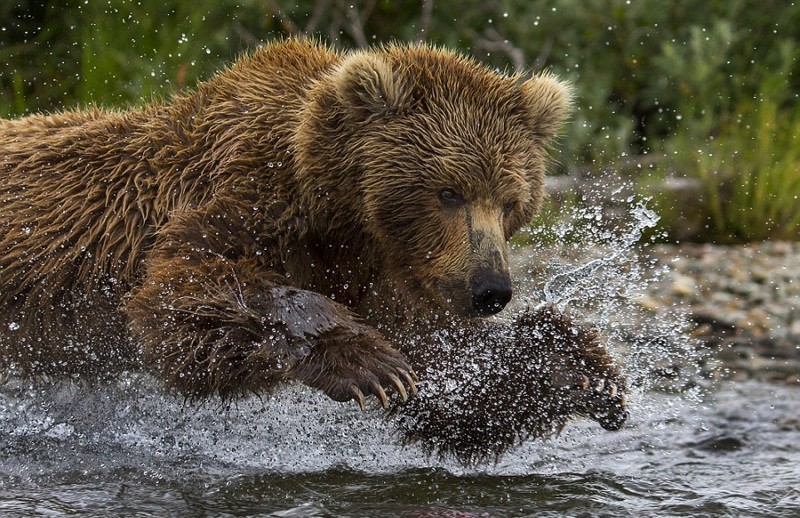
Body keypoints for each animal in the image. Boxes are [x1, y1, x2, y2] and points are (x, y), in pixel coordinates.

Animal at [0, 39, 624, 464]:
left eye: (511, 200)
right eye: (449, 191)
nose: (490, 289)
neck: (340, 216)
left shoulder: (386, 275)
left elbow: (447, 379)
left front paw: (580, 370)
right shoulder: (245, 194)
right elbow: (181, 292)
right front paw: (368, 363)